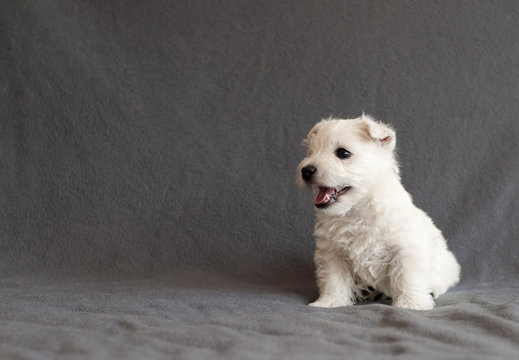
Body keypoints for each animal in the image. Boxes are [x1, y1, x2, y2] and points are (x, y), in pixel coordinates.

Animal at [298, 114, 462, 310]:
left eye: (343, 153)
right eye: (310, 153)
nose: (306, 171)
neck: (357, 210)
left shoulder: (406, 249)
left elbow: (408, 277)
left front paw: (411, 304)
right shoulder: (332, 253)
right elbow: (334, 280)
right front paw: (329, 302)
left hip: (446, 266)